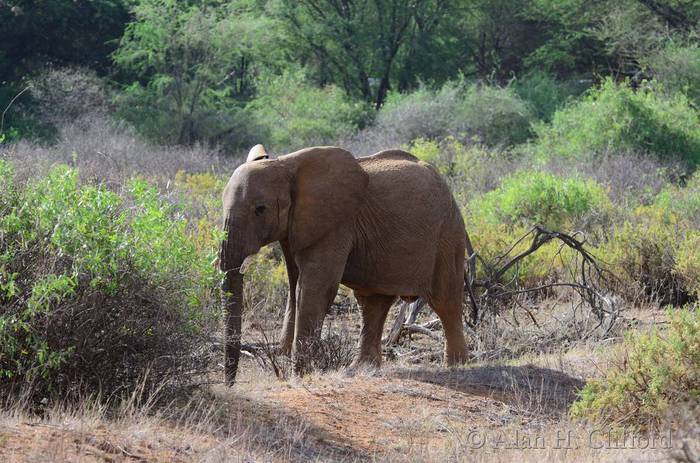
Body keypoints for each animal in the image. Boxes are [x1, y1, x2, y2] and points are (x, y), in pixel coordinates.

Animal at [219, 144, 474, 383]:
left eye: (260, 209)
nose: (230, 383)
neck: (286, 165)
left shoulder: (336, 223)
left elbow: (315, 287)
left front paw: (300, 375)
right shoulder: (295, 228)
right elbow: (294, 288)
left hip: (448, 233)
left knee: (445, 300)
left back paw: (456, 367)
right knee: (372, 304)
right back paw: (361, 369)